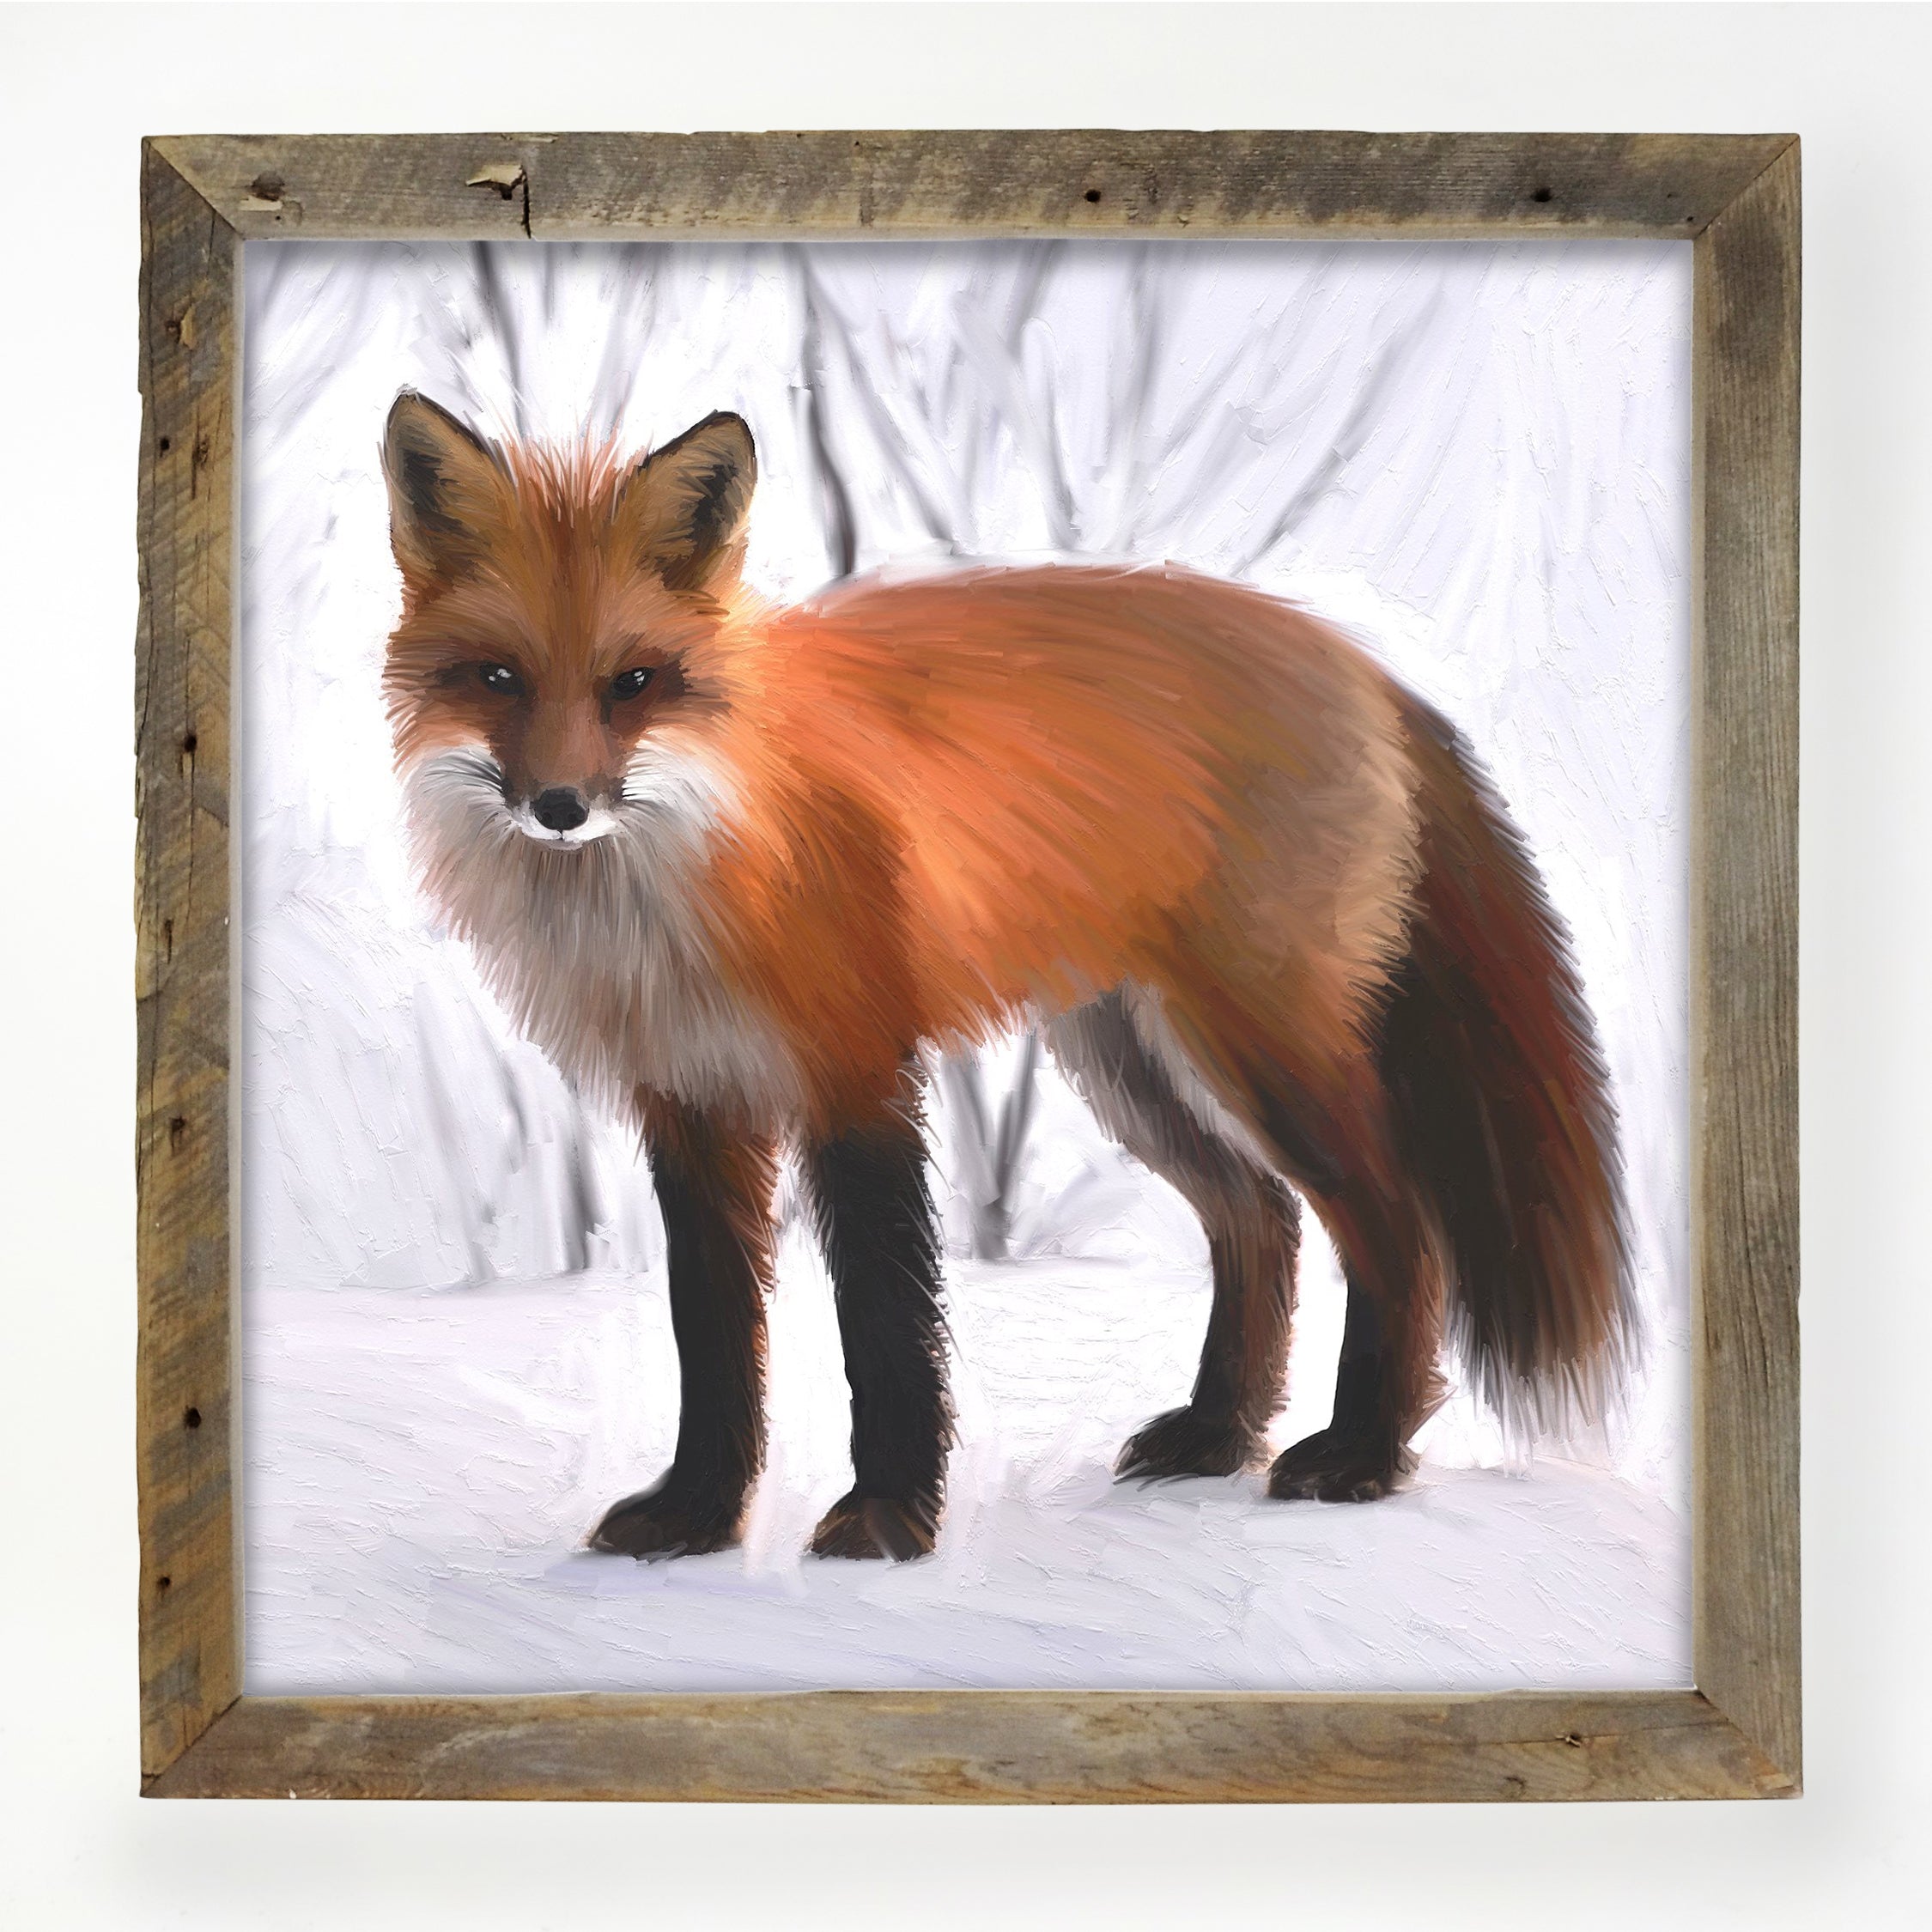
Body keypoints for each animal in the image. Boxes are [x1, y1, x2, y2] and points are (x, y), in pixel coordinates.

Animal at [380, 389, 1633, 1563]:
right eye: (497, 677)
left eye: (634, 682)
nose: (559, 807)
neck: (687, 878)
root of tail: (1355, 658)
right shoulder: (690, 1103)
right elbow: (715, 1333)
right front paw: (696, 1515)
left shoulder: (857, 1073)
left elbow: (884, 1318)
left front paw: (887, 1520)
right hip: (1127, 1063)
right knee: (1259, 1218)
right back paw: (1217, 1434)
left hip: (1265, 1051)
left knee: (1395, 1229)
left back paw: (1362, 1455)